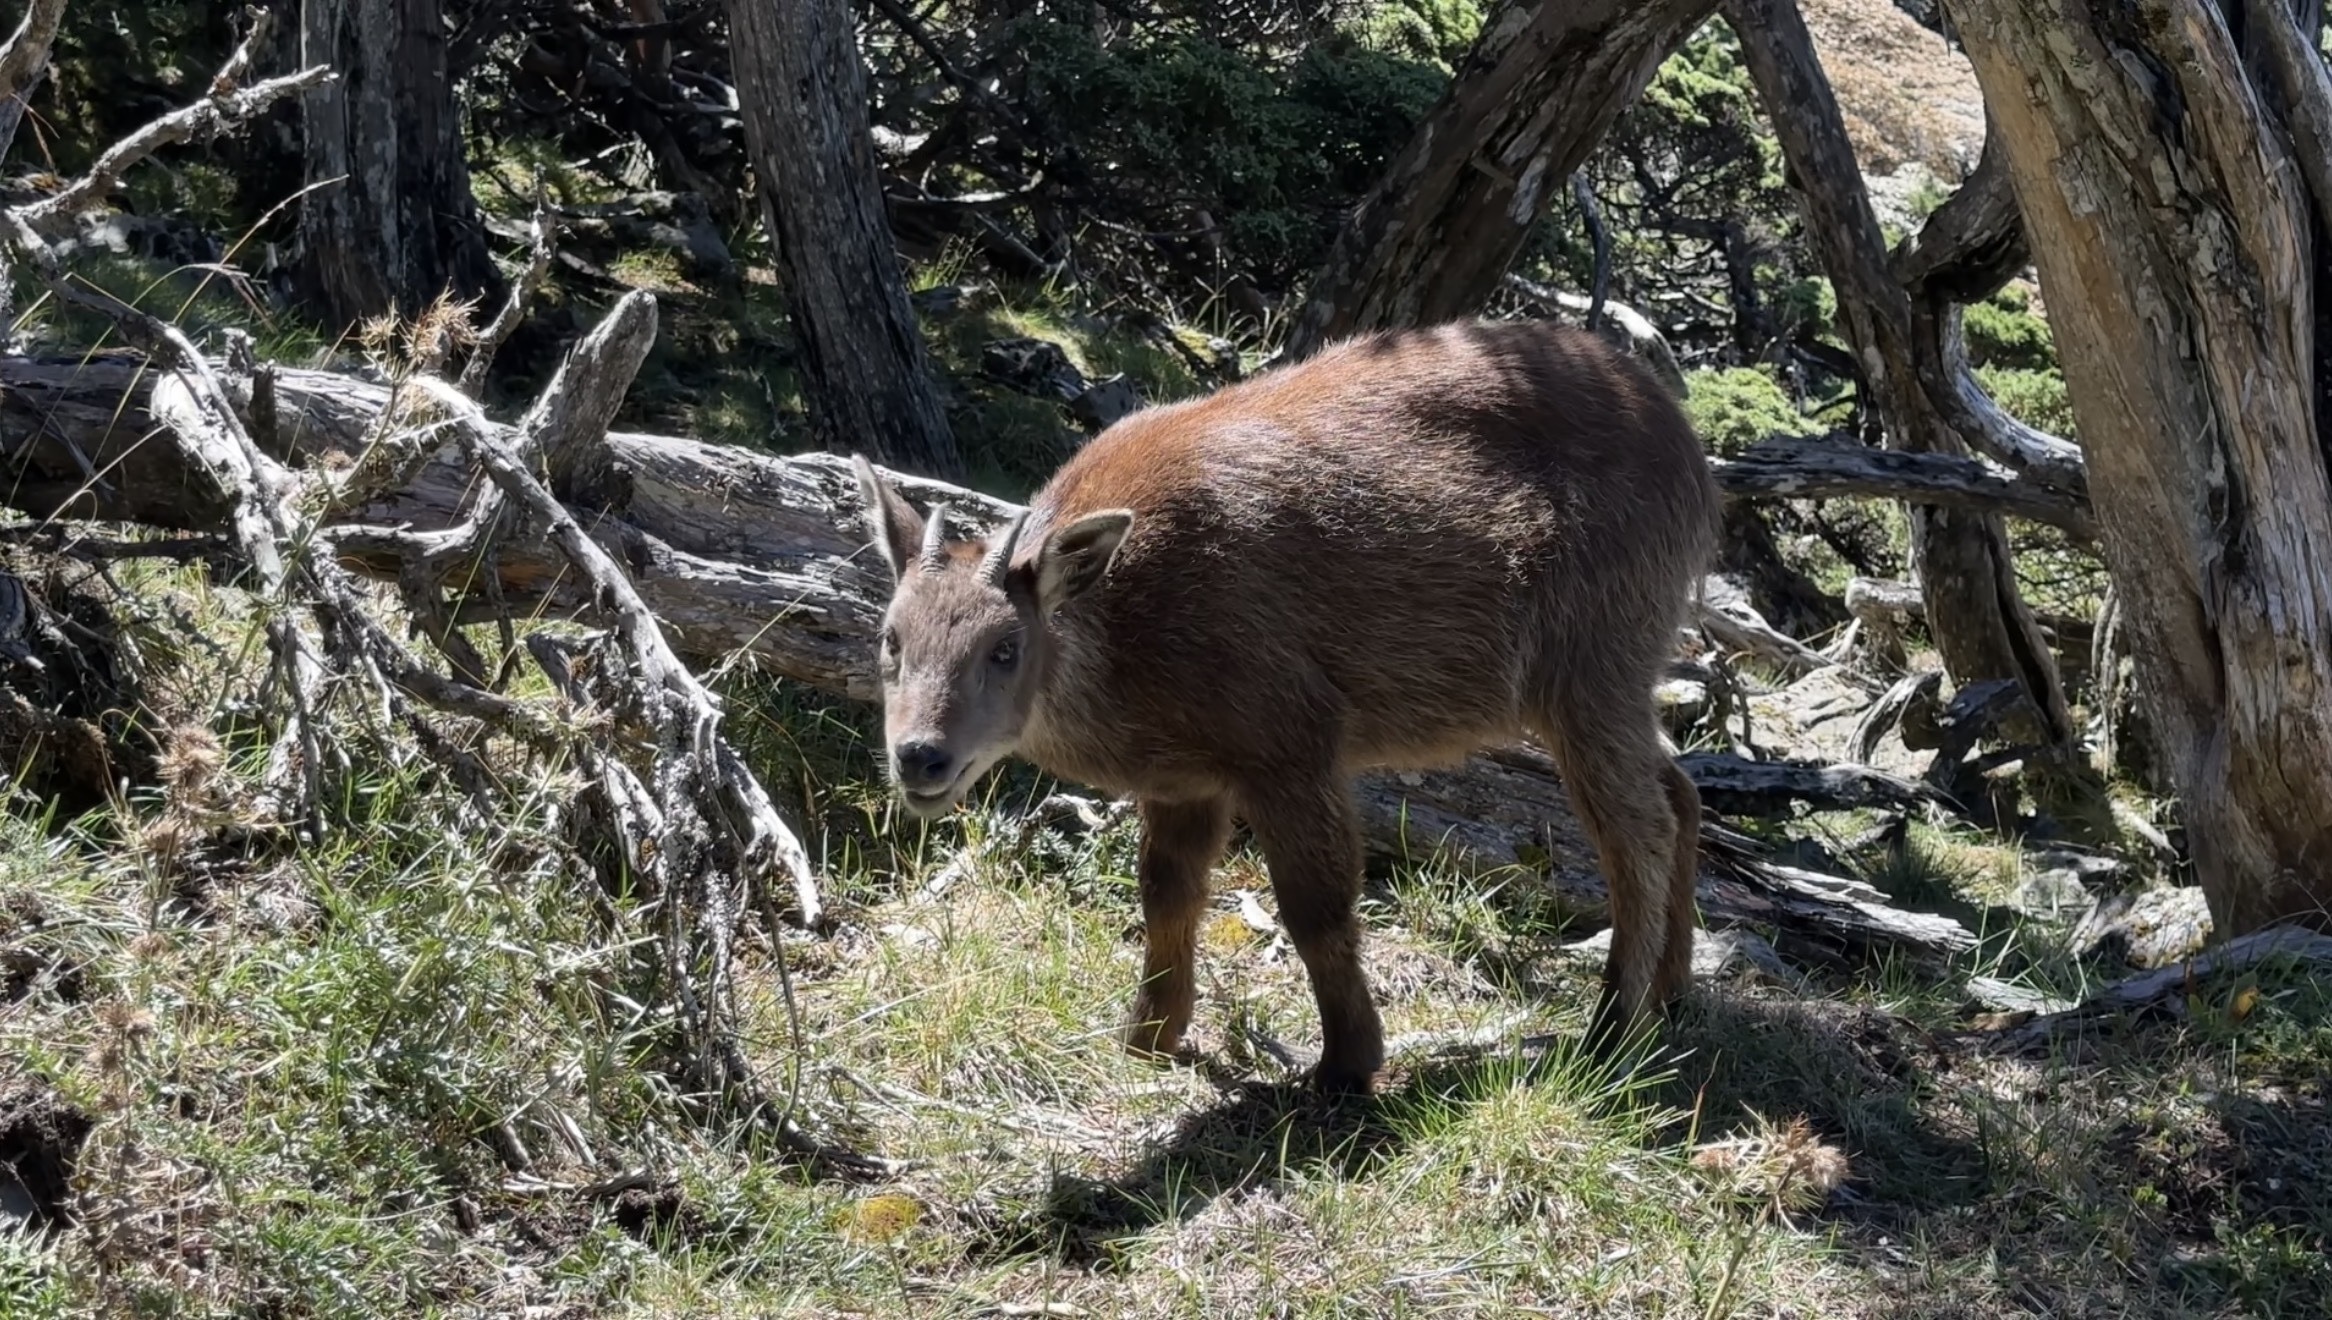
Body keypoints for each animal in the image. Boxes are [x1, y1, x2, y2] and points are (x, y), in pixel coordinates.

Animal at [851, 318, 1722, 1097]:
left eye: (1005, 647)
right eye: (891, 637)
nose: (920, 757)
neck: (1132, 630)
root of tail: (1689, 447)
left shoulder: (1290, 741)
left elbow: (1317, 909)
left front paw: (1347, 1064)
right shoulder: (1185, 781)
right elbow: (1167, 895)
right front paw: (1150, 1036)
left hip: (1590, 664)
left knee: (1636, 830)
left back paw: (1613, 1028)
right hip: (1618, 678)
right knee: (1683, 793)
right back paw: (1674, 994)